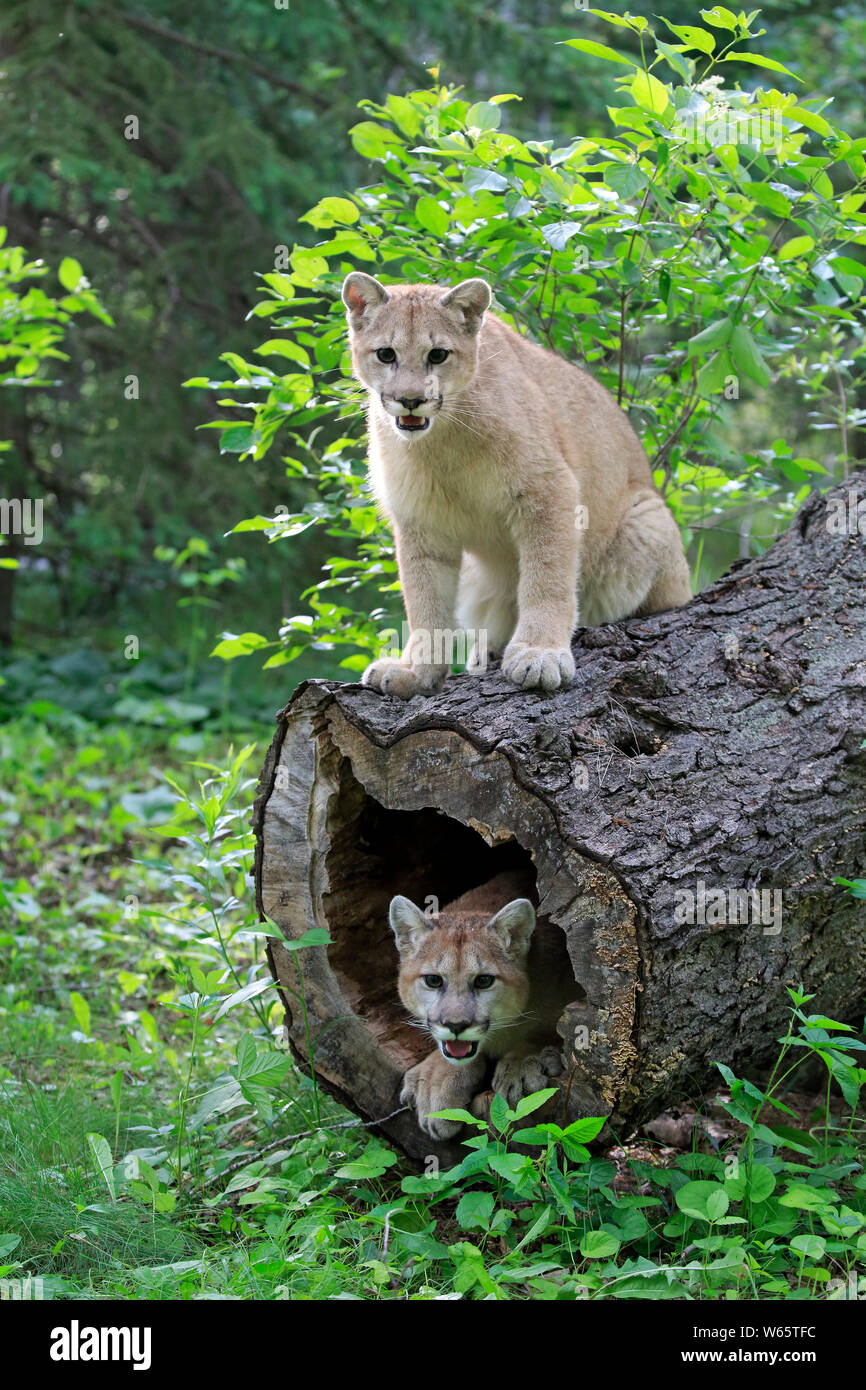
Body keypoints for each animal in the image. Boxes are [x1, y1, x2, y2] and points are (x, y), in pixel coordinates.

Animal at [343, 272, 692, 700]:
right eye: (386, 354)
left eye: (438, 355)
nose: (411, 400)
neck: (441, 440)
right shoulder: (420, 518)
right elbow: (424, 598)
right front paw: (418, 671)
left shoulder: (549, 488)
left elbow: (546, 577)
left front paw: (539, 654)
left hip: (648, 518)